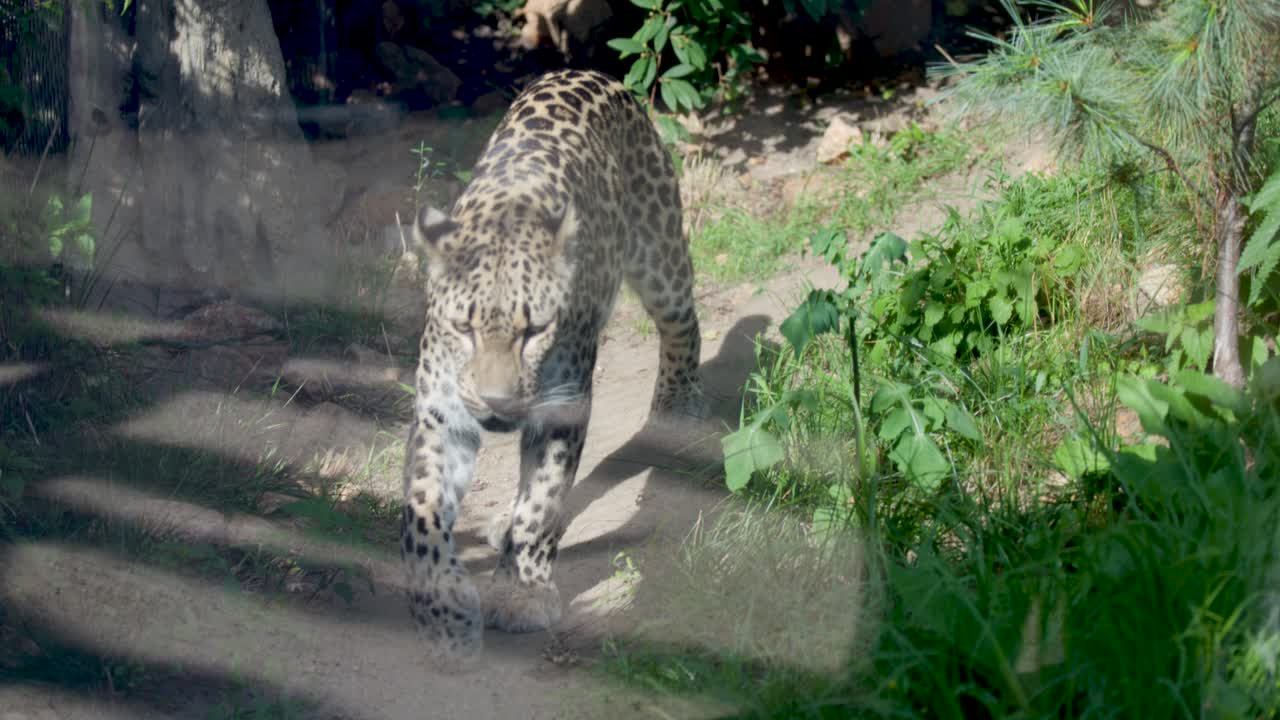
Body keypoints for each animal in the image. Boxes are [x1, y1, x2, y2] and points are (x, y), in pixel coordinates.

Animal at [401, 68, 707, 661]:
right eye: (464, 328)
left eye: (535, 330)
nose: (497, 403)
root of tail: (591, 74)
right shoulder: (442, 411)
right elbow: (423, 512)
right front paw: (443, 610)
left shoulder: (563, 403)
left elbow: (542, 502)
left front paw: (520, 593)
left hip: (659, 254)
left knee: (684, 324)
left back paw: (674, 410)